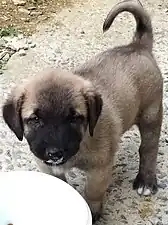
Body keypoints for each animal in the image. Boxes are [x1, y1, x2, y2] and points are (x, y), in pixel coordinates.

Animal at [2, 0, 163, 221]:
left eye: (74, 118)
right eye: (34, 119)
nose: (55, 153)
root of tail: (137, 46)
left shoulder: (100, 168)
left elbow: (92, 193)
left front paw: (93, 214)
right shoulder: (46, 166)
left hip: (151, 114)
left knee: (148, 148)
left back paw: (146, 181)